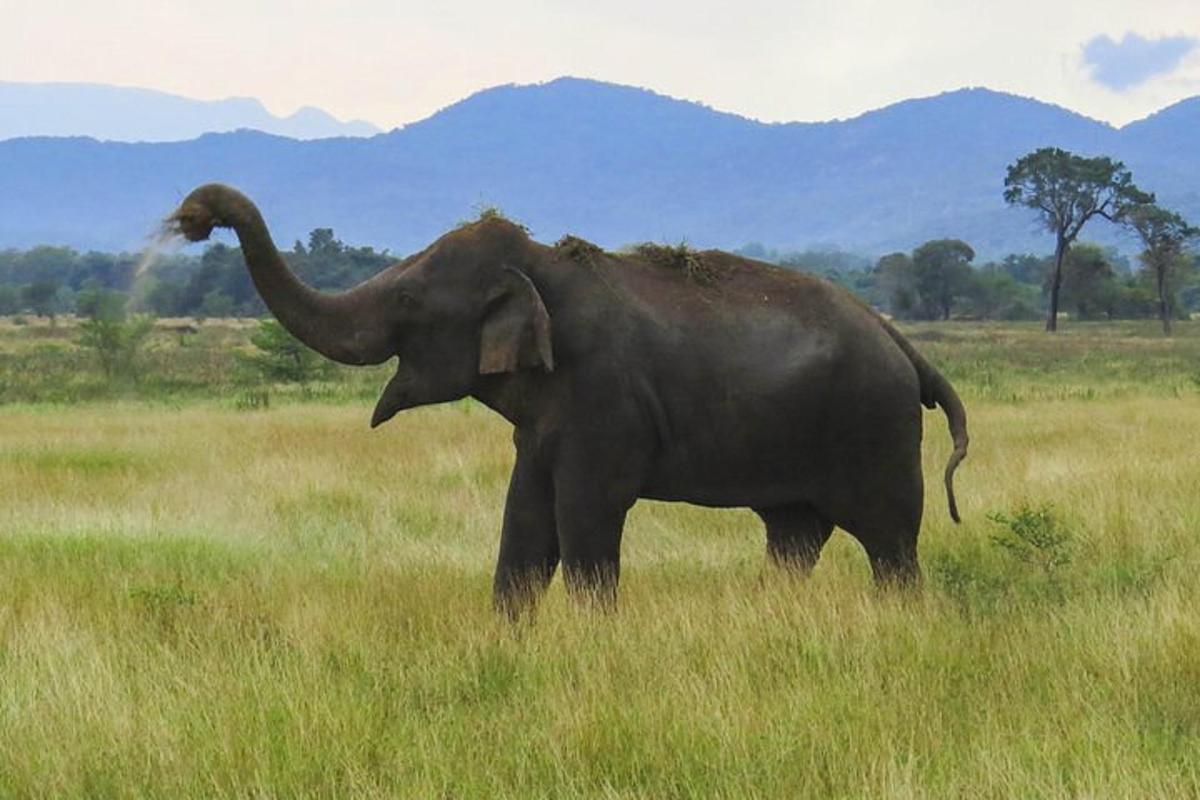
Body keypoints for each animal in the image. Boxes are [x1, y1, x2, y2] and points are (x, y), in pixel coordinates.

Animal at [166, 185, 964, 614]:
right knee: (794, 536)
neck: (544, 267)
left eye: (408, 299)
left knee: (891, 543)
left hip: (878, 431)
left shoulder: (603, 404)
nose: (196, 213)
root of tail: (903, 343)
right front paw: (504, 642)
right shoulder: (546, 424)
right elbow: (524, 524)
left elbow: (584, 520)